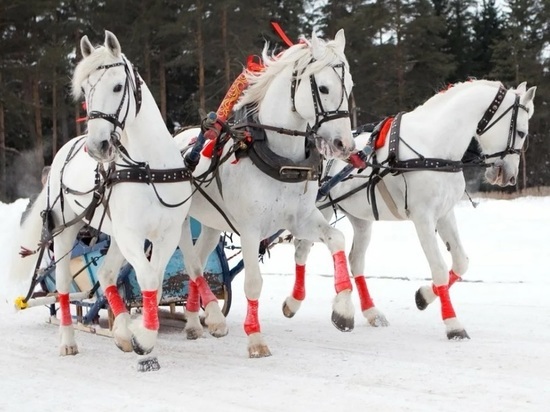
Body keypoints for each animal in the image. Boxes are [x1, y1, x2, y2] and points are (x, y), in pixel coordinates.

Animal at [8, 30, 204, 368]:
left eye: (117, 86)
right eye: (86, 89)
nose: (97, 146)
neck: (149, 169)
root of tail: (65, 148)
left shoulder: (165, 235)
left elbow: (155, 280)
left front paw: (138, 333)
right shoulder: (131, 234)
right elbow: (148, 278)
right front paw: (143, 337)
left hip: (114, 238)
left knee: (106, 273)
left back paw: (122, 331)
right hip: (66, 231)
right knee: (63, 286)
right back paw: (68, 341)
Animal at [176, 29, 358, 358]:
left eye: (349, 86)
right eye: (323, 87)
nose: (344, 145)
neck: (281, 157)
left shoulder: (301, 218)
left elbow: (336, 239)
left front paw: (343, 310)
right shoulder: (250, 229)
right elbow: (253, 283)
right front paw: (255, 338)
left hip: (210, 224)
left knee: (199, 261)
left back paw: (196, 322)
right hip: (179, 222)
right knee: (192, 264)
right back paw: (215, 317)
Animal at [294, 79, 540, 340]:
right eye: (521, 132)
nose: (509, 176)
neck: (435, 147)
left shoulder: (444, 214)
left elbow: (461, 262)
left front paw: (423, 296)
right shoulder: (423, 218)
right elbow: (439, 268)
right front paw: (453, 324)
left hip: (360, 218)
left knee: (355, 260)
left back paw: (371, 312)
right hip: (318, 210)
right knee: (302, 251)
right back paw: (295, 302)